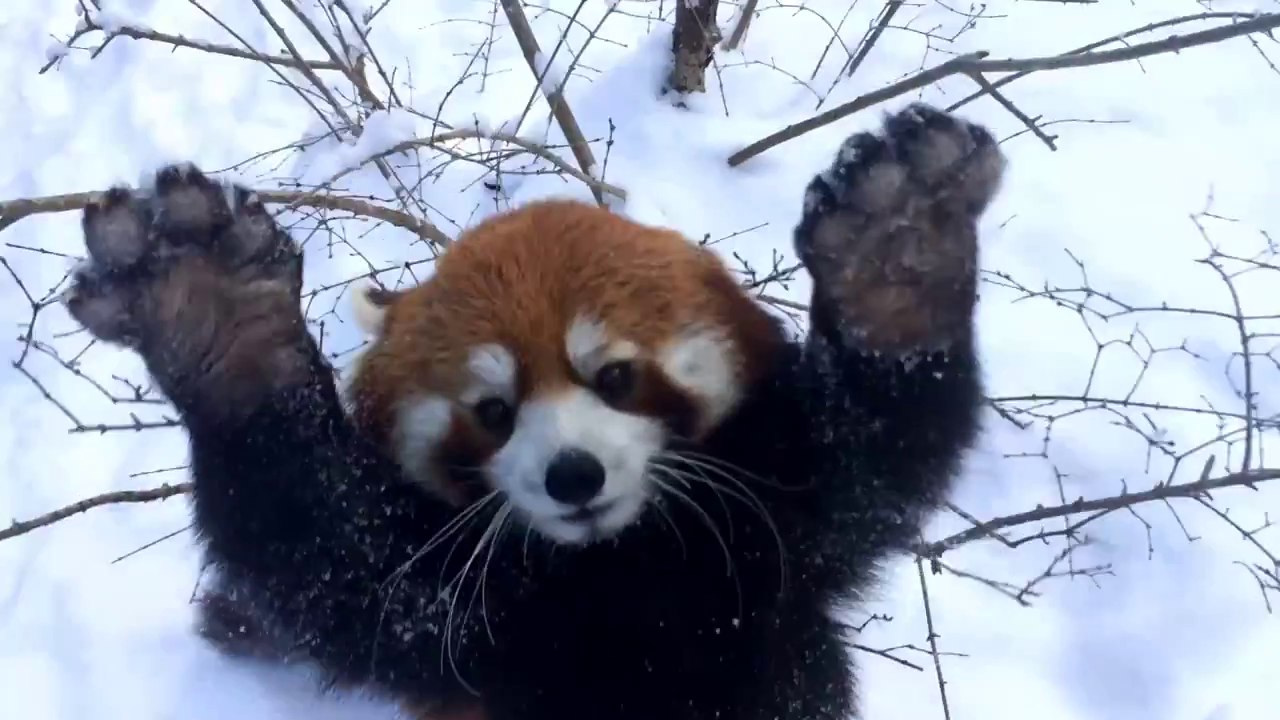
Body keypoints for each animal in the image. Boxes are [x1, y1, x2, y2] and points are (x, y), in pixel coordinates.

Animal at [61, 103, 1004, 720]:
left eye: (615, 376)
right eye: (492, 410)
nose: (572, 477)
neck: (614, 571)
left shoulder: (776, 537)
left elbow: (877, 451)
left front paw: (896, 259)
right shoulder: (467, 619)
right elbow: (326, 553)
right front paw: (217, 321)